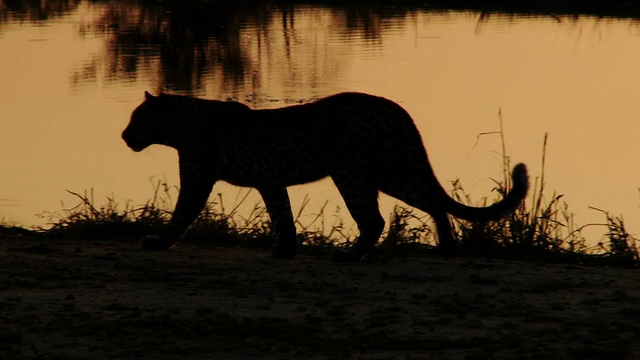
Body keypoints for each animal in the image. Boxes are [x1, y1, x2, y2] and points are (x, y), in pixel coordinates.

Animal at [122, 91, 528, 262]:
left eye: (138, 118)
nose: (124, 136)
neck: (180, 125)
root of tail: (397, 110)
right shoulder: (271, 182)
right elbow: (282, 215)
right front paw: (285, 249)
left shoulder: (197, 176)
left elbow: (182, 213)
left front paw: (158, 242)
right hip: (394, 172)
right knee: (433, 203)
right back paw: (446, 248)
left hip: (352, 174)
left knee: (374, 219)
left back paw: (350, 256)